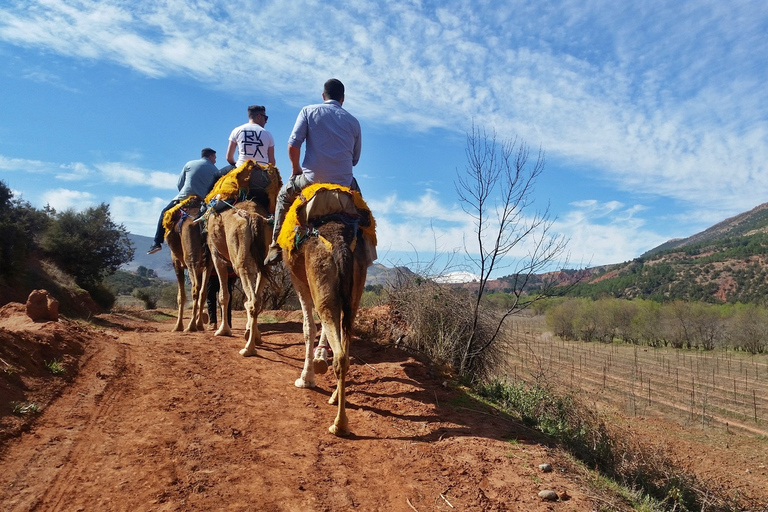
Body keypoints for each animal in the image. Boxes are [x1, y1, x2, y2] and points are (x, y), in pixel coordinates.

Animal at [163, 196, 210, 332]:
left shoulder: (176, 263)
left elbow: (181, 296)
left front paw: (178, 326)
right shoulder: (201, 267)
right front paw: (200, 321)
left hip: (191, 258)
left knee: (195, 288)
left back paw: (191, 326)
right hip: (208, 261)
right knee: (203, 291)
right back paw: (198, 325)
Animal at [204, 161, 282, 356]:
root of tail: (253, 216)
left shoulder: (217, 256)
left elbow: (224, 295)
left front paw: (223, 330)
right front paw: (251, 332)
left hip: (239, 261)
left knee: (252, 300)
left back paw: (248, 349)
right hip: (264, 260)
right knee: (257, 298)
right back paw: (254, 339)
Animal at [282, 184, 378, 436]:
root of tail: (341, 245)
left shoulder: (299, 281)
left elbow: (308, 328)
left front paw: (305, 379)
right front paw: (318, 363)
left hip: (320, 280)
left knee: (340, 352)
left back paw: (339, 424)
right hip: (354, 292)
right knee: (345, 344)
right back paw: (336, 401)